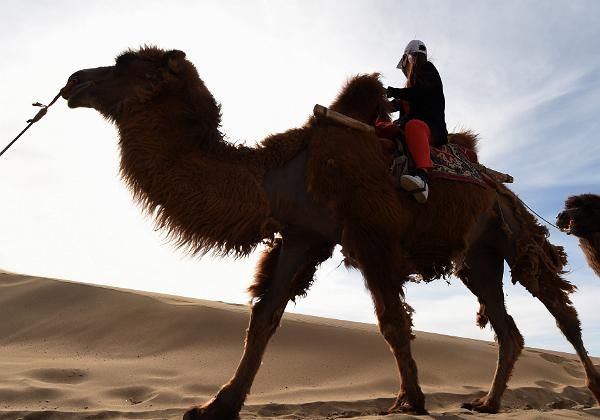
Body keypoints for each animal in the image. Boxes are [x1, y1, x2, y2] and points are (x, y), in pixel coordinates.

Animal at [59, 47, 600, 418]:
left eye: (128, 64)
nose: (72, 79)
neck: (281, 173)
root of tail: (496, 182)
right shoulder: (304, 236)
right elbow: (264, 317)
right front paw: (216, 405)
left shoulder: (369, 232)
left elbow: (391, 323)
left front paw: (409, 401)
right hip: (477, 256)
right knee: (508, 328)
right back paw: (487, 403)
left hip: (511, 228)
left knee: (560, 310)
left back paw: (590, 387)